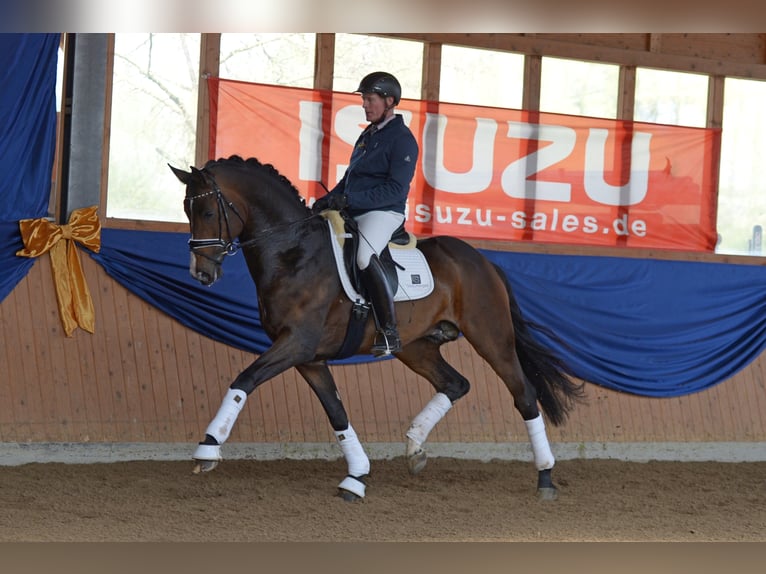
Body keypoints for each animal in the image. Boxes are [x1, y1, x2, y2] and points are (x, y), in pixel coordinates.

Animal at [171, 156, 584, 504]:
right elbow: (337, 413)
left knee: (524, 394)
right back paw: (415, 448)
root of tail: (483, 261)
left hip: (491, 337)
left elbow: (245, 379)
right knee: (455, 383)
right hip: (416, 346)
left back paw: (545, 478)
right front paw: (356, 477)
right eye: (186, 210)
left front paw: (208, 447)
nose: (201, 273)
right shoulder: (307, 357)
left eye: (208, 210)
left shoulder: (296, 344)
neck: (294, 253)